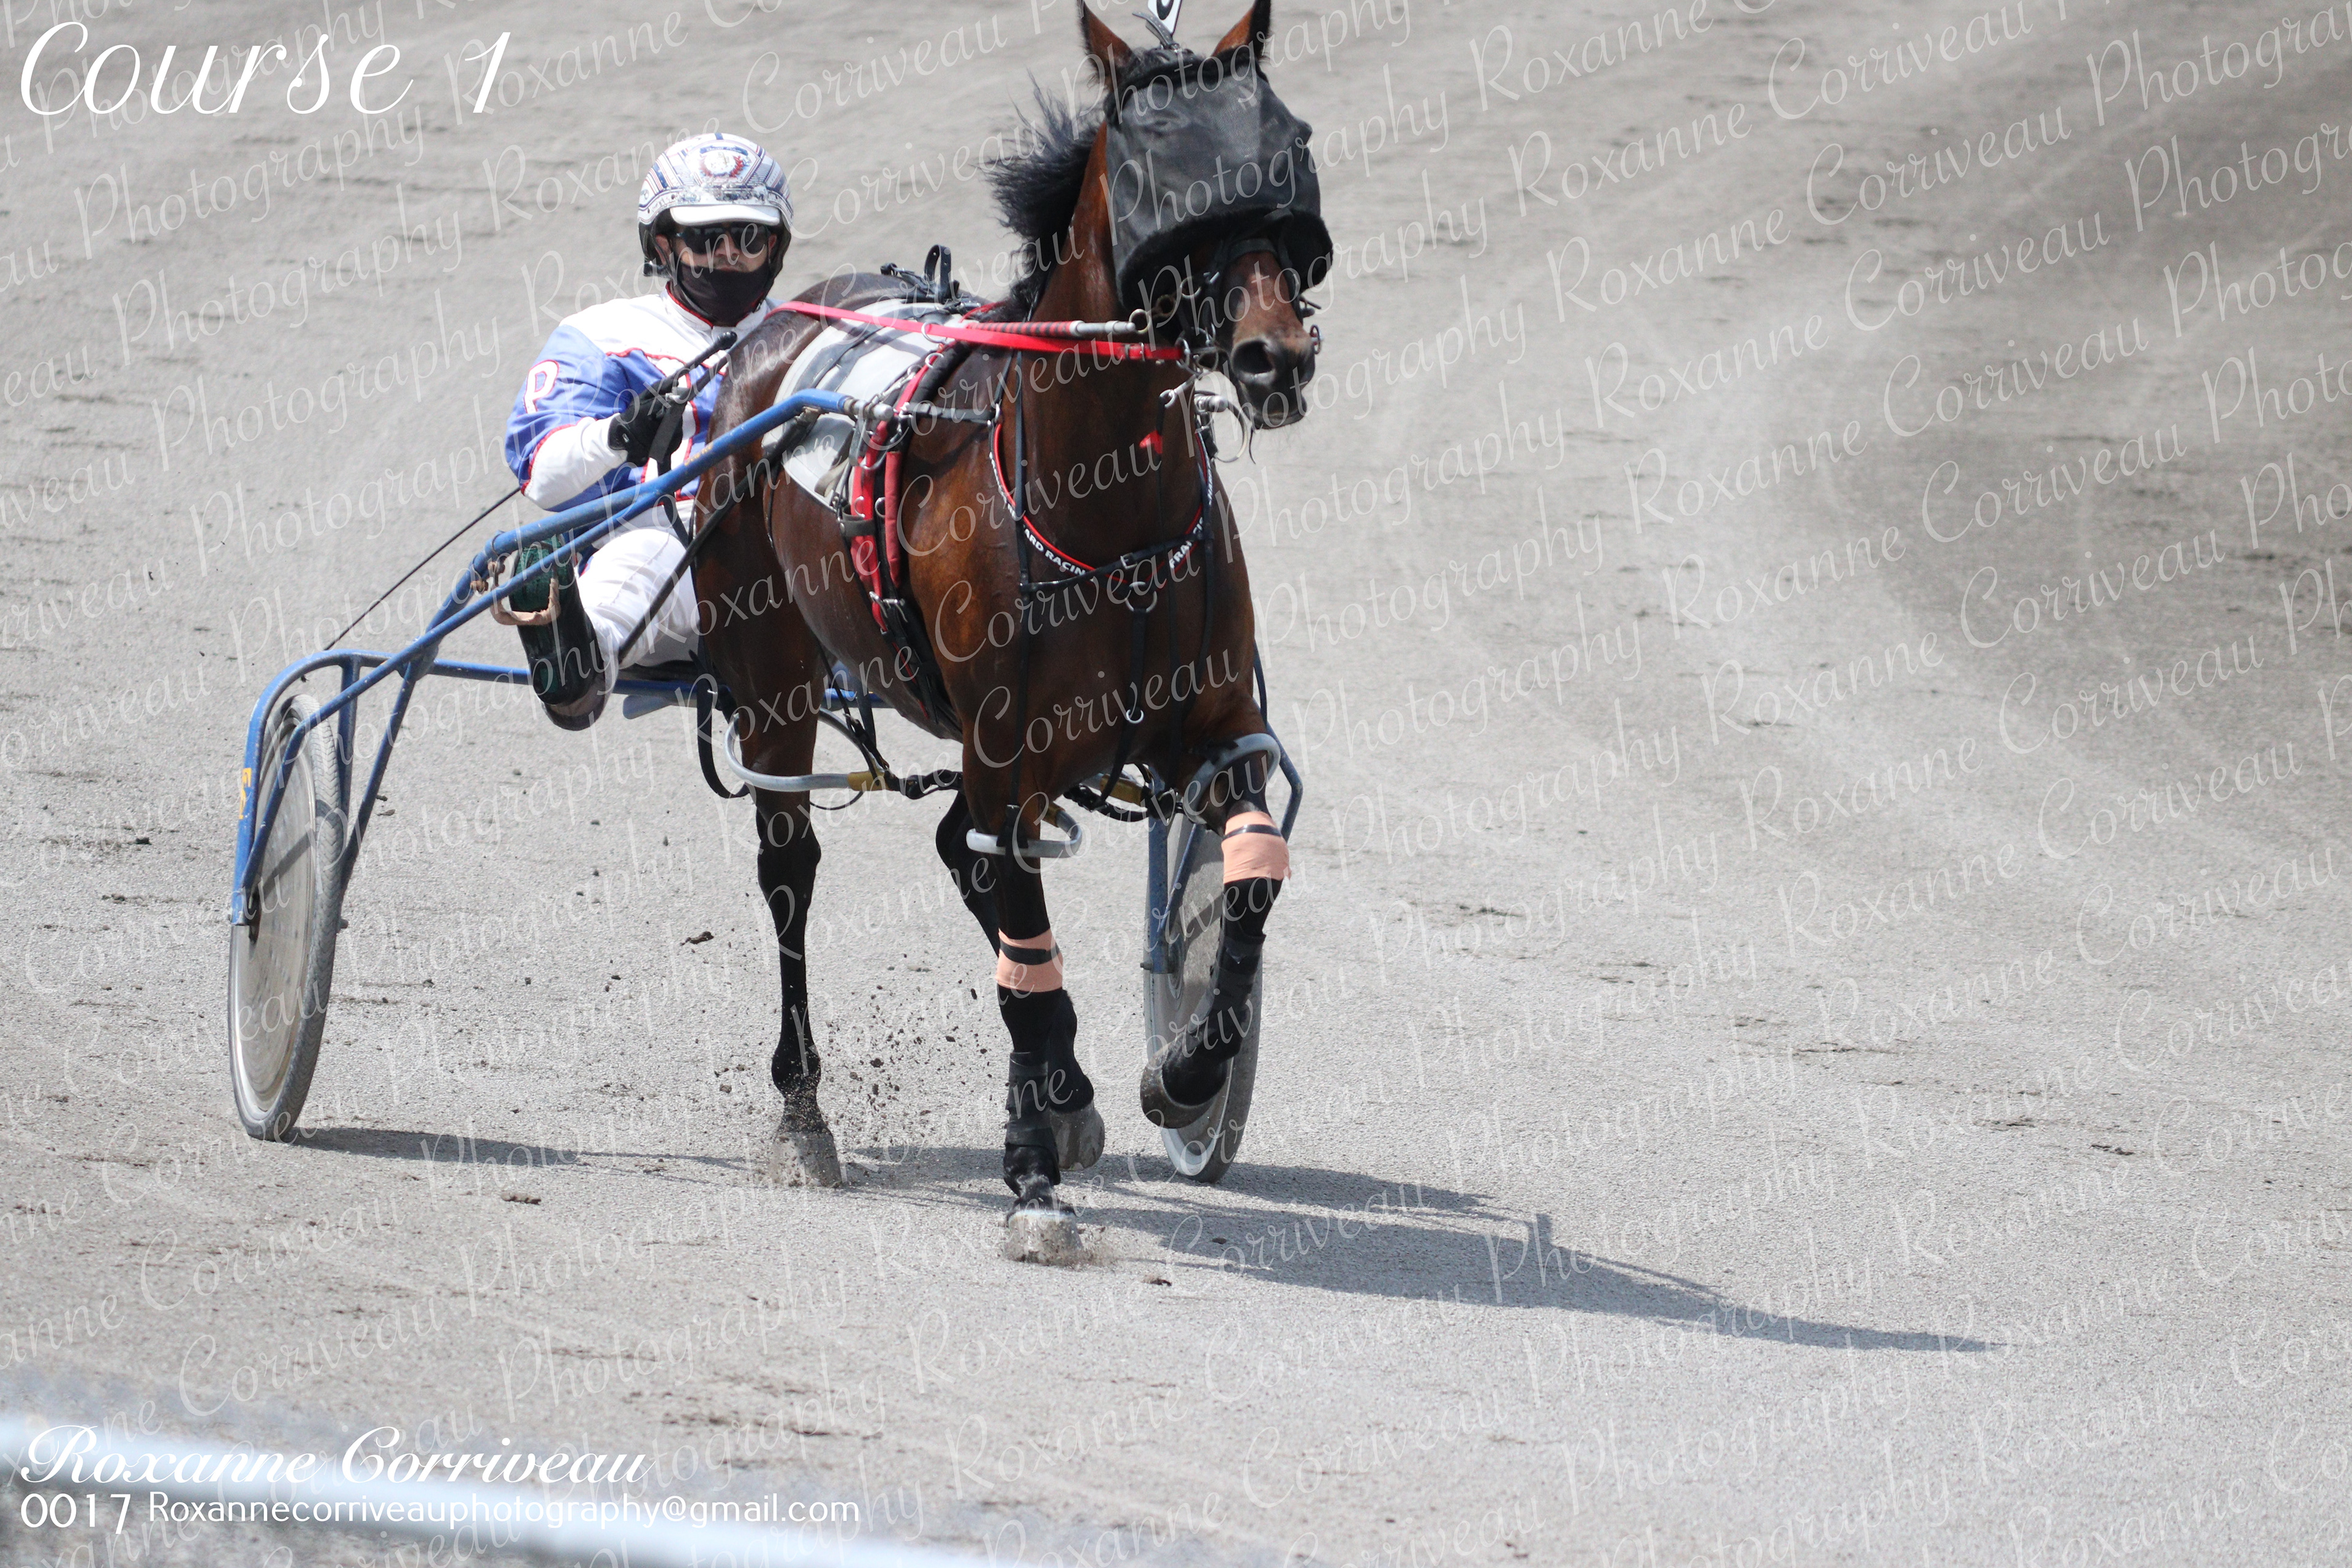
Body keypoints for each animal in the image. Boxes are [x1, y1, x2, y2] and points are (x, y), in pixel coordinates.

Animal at [695, 0, 1326, 1254]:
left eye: (1280, 153)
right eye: (1159, 178)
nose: (1275, 355)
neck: (1109, 505)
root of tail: (772, 334)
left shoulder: (1208, 726)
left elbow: (1247, 877)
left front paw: (1183, 1077)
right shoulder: (1002, 741)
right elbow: (1024, 946)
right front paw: (1033, 1171)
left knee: (961, 853)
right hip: (776, 682)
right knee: (793, 865)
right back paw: (806, 1114)